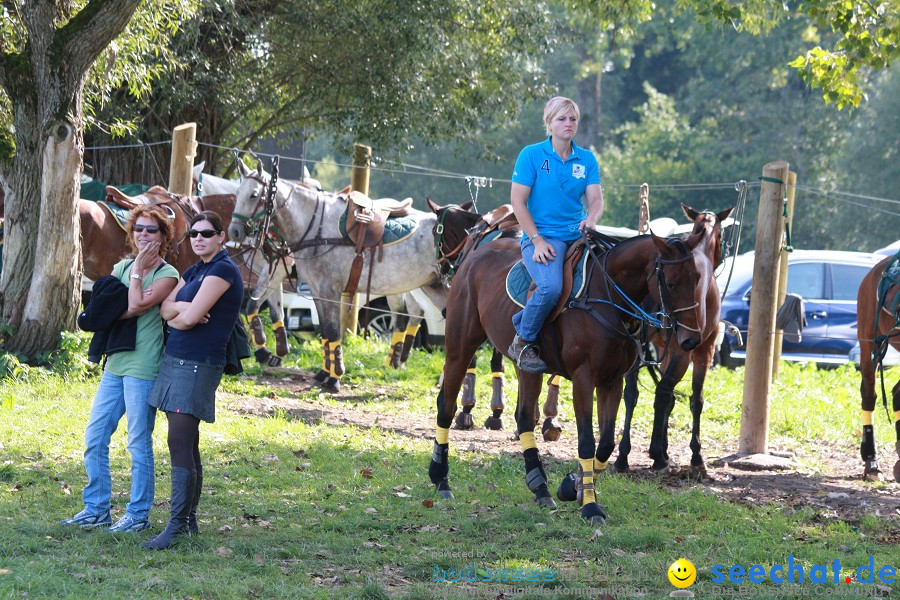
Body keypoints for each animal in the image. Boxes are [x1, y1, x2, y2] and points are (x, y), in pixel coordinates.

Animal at [227, 159, 444, 394]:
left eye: (254, 195)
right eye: (237, 193)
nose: (234, 232)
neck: (317, 230)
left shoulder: (325, 288)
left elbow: (331, 331)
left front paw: (334, 378)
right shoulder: (311, 288)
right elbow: (318, 329)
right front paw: (321, 373)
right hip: (421, 285)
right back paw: (400, 364)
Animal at [428, 227, 712, 524]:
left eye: (697, 279)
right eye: (670, 283)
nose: (692, 339)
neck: (607, 297)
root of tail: (473, 256)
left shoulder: (612, 381)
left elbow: (606, 443)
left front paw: (573, 486)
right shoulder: (583, 378)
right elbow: (587, 441)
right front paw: (590, 506)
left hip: (526, 367)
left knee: (524, 417)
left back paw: (540, 488)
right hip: (460, 346)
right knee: (446, 405)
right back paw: (441, 479)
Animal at [596, 204, 732, 476]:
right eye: (722, 234)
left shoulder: (664, 350)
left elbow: (666, 399)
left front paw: (662, 448)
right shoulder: (703, 350)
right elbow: (695, 400)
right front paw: (694, 455)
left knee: (633, 394)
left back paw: (624, 456)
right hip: (683, 350)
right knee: (661, 393)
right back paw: (657, 456)